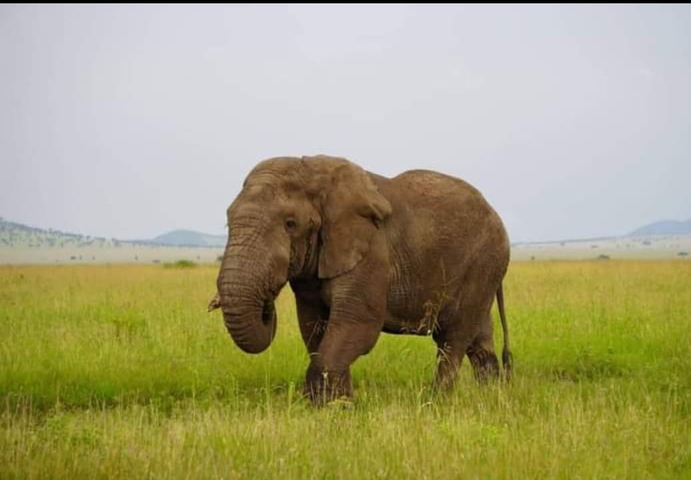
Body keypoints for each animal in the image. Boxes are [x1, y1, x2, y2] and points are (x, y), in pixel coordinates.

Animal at [208, 154, 512, 405]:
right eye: (227, 221)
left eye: (290, 224)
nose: (267, 300)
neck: (313, 172)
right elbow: (314, 328)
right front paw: (340, 405)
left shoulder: (372, 248)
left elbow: (357, 325)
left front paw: (327, 407)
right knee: (478, 340)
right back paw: (492, 396)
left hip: (486, 261)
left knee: (453, 337)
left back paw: (436, 401)